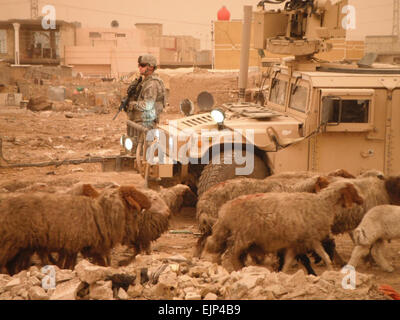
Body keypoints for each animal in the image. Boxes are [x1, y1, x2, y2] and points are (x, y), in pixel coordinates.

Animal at [205, 181, 364, 274]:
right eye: (354, 191)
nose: (362, 200)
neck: (323, 204)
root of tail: (225, 209)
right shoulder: (308, 239)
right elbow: (319, 255)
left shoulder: (301, 241)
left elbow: (313, 256)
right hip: (242, 236)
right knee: (229, 256)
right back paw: (235, 271)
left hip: (238, 238)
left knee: (231, 255)